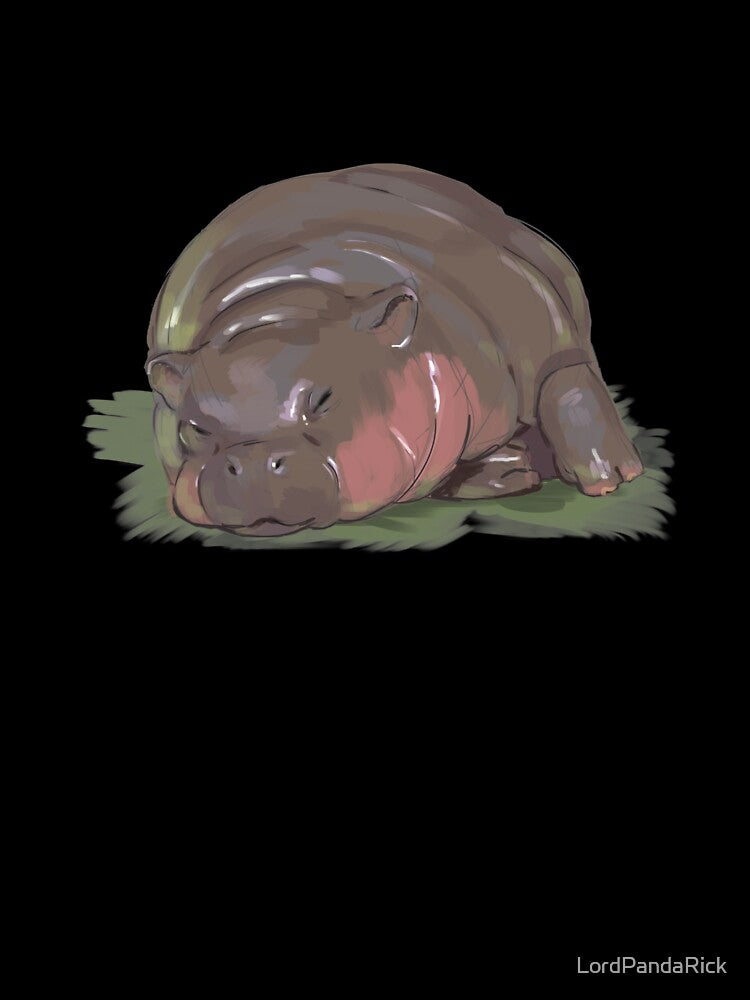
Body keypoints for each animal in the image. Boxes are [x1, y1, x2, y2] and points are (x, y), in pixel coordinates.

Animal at [146, 164, 643, 536]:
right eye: (194, 427)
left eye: (323, 399)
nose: (249, 462)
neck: (286, 302)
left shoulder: (536, 323)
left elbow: (565, 381)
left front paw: (612, 481)